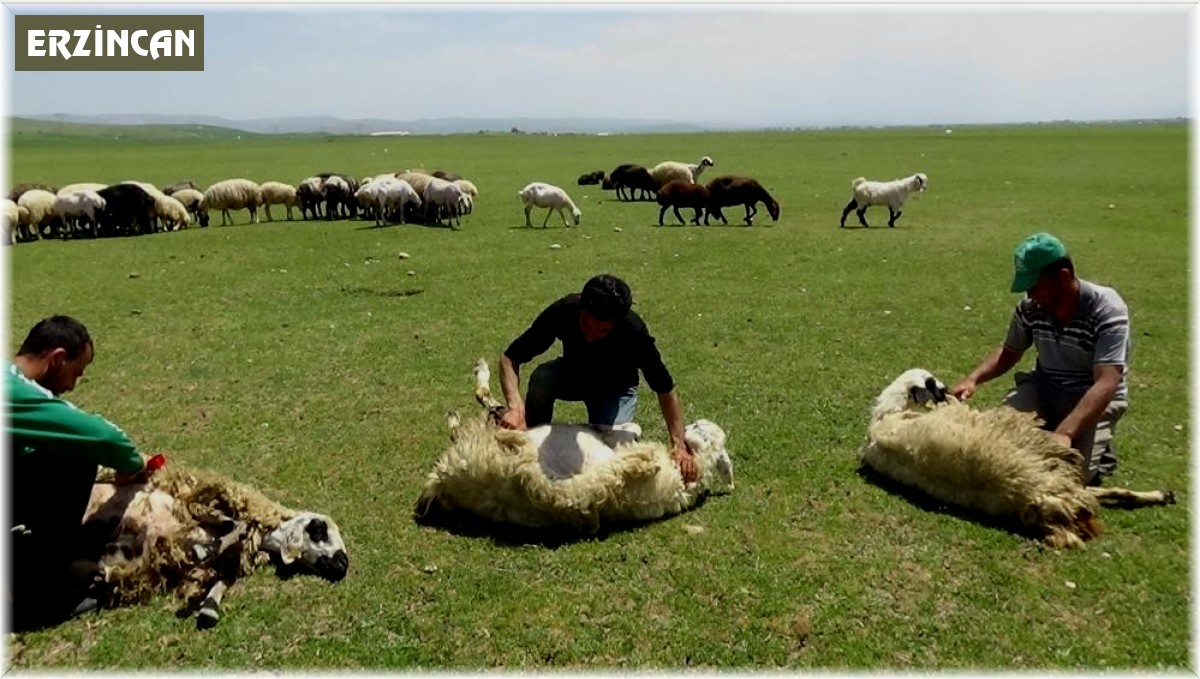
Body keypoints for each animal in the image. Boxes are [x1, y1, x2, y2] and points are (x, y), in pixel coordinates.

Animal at [79, 465, 350, 628]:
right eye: (319, 528)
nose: (342, 565)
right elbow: (235, 525)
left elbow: (222, 579)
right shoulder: (198, 503)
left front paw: (210, 607)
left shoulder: (223, 561)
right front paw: (206, 549)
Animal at [412, 359, 729, 535]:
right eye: (701, 426)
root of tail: (446, 480)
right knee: (488, 409)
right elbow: (630, 429)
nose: (691, 425)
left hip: (496, 447)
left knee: (485, 408)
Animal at [859, 369, 1176, 551]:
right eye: (934, 385)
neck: (884, 417)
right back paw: (1162, 494)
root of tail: (1037, 496)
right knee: (1103, 491)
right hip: (1058, 470)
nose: (947, 391)